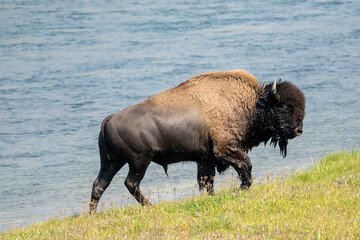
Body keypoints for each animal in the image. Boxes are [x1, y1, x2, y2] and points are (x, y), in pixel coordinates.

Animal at [88, 69, 306, 214]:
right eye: (284, 107)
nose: (299, 130)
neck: (252, 104)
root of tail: (108, 120)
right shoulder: (226, 150)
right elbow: (246, 167)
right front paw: (241, 189)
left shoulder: (206, 159)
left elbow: (207, 181)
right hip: (139, 161)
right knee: (131, 183)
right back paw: (150, 206)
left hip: (111, 162)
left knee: (100, 184)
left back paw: (92, 215)